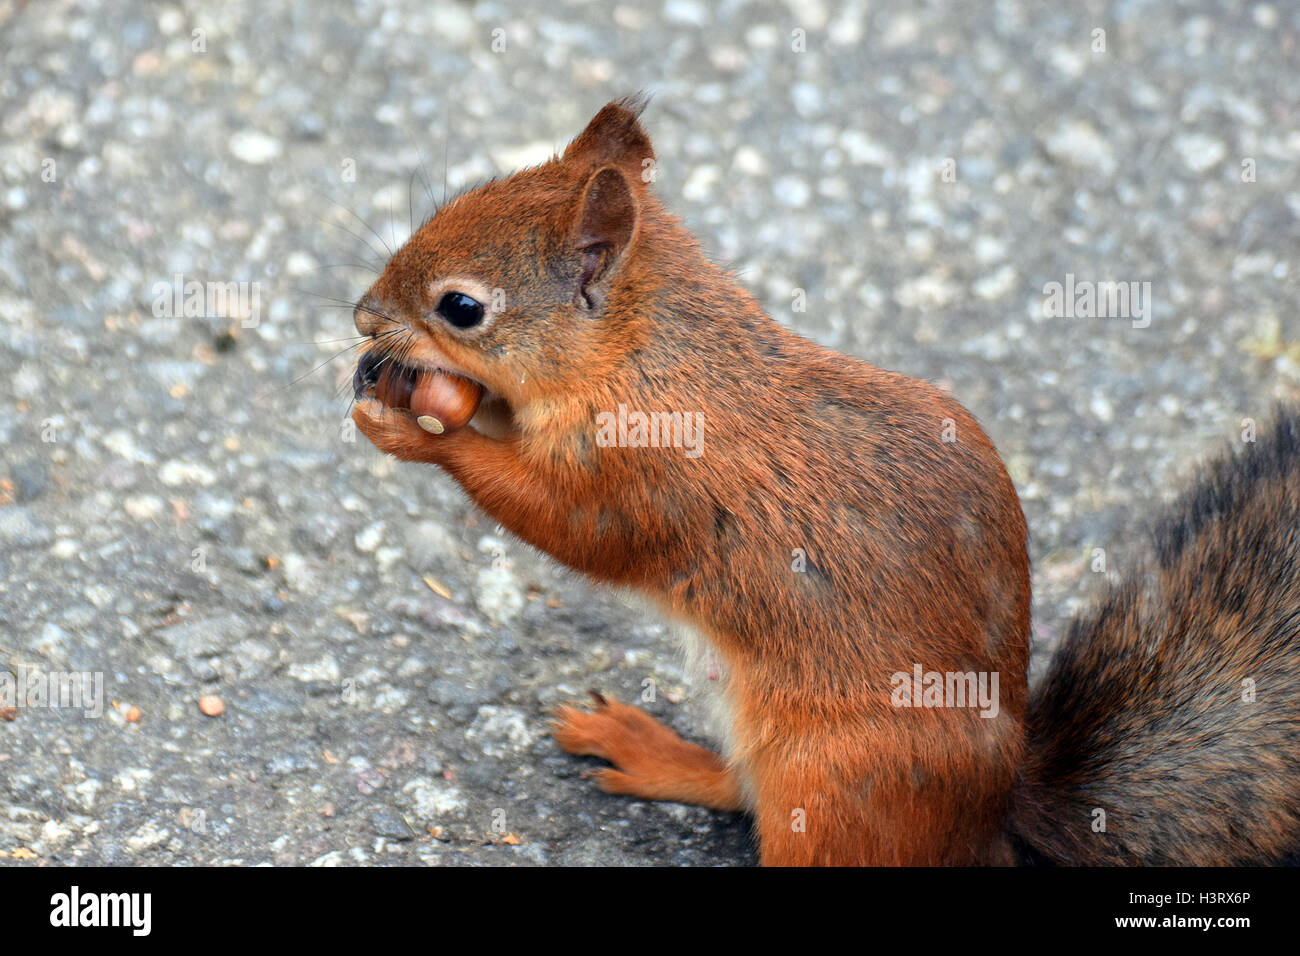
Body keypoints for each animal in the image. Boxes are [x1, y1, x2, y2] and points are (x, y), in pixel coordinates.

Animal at [345, 97, 1300, 868]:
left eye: (462, 307)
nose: (360, 315)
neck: (643, 353)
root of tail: (990, 816)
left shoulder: (644, 473)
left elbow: (562, 522)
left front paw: (422, 429)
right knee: (736, 790)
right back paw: (646, 748)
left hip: (835, 779)